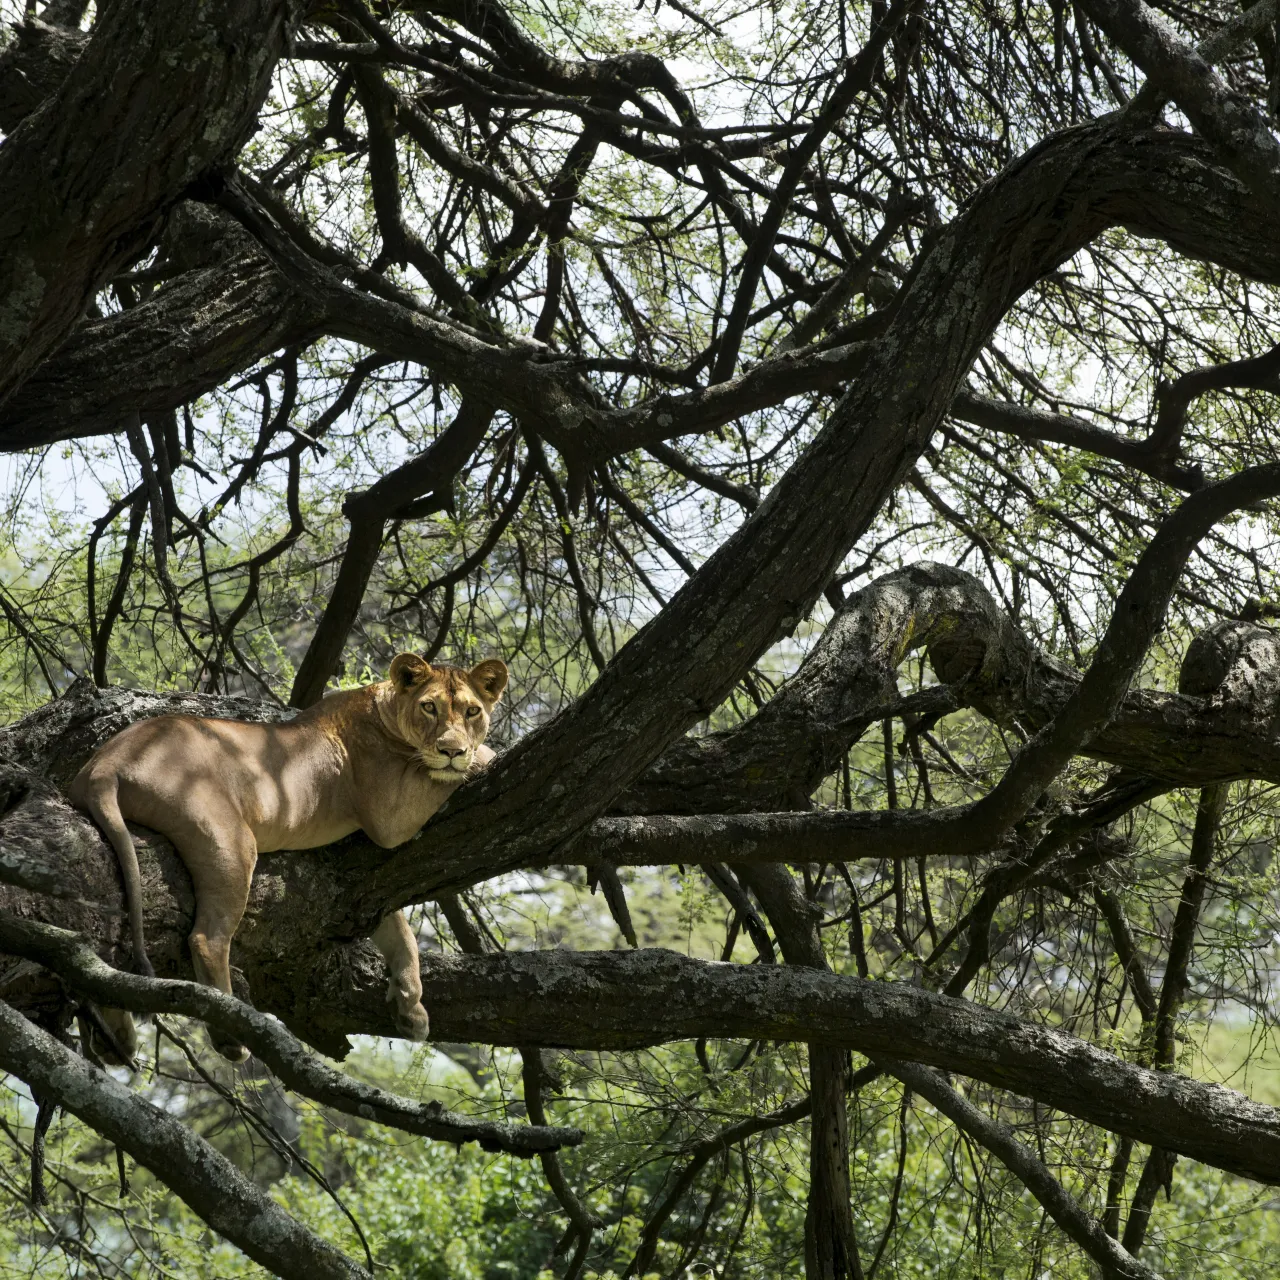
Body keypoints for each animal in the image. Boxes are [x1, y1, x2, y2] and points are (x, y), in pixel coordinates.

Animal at [69, 653, 507, 1061]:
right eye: (429, 707)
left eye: (472, 711)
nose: (451, 749)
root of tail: (105, 762)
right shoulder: (389, 818)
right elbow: (446, 775)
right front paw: (480, 756)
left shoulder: (364, 884)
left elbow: (398, 930)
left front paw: (411, 1006)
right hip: (229, 838)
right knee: (206, 938)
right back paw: (229, 1033)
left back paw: (115, 1038)